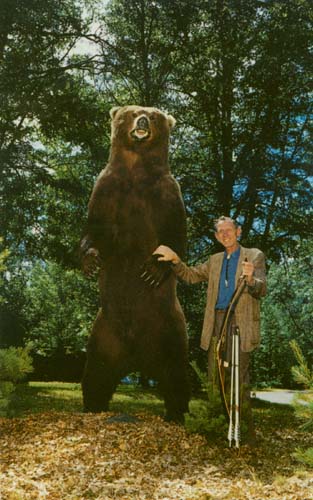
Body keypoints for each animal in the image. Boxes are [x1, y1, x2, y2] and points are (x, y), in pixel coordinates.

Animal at [79, 104, 189, 422]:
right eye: (133, 111)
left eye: (153, 115)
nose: (142, 121)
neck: (136, 170)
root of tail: (137, 360)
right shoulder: (106, 189)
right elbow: (93, 228)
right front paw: (91, 260)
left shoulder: (166, 193)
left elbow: (175, 236)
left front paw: (153, 269)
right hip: (104, 334)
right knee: (95, 374)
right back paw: (93, 407)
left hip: (170, 331)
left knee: (177, 377)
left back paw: (176, 415)